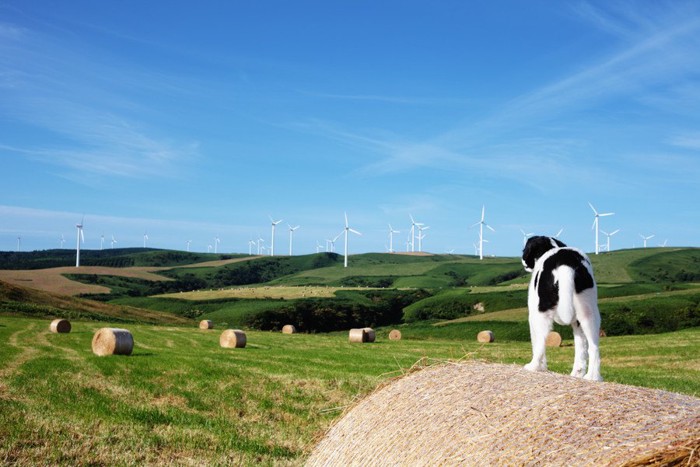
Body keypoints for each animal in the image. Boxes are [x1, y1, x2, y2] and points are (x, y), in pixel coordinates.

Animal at [520, 236, 600, 382]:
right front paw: (578, 373)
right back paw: (592, 377)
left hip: (542, 313)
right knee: (593, 347)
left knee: (541, 342)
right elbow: (581, 347)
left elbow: (536, 342)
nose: (523, 261)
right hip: (588, 312)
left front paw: (541, 367)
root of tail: (564, 263)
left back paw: (532, 366)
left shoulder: (532, 315)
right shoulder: (577, 324)